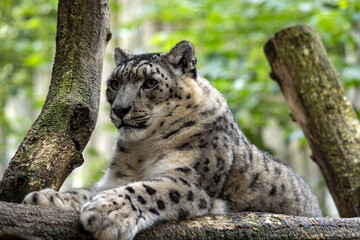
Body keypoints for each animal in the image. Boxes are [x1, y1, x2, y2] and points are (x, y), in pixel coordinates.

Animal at [22, 40, 322, 239]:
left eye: (150, 83)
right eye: (114, 84)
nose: (119, 109)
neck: (142, 150)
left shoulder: (189, 179)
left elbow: (148, 189)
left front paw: (107, 211)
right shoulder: (117, 178)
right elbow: (88, 191)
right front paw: (47, 198)